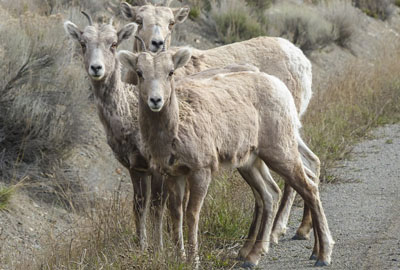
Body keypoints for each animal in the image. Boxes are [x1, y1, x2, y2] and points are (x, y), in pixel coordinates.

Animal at [63, 14, 169, 251]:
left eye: (113, 44)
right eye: (83, 44)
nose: (96, 68)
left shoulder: (158, 170)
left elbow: (158, 210)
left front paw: (159, 249)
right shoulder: (136, 168)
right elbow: (139, 208)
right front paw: (141, 247)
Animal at [119, 0, 318, 243]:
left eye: (171, 23)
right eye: (139, 21)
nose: (157, 44)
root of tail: (300, 58)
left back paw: (275, 232)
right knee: (311, 164)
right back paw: (301, 229)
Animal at [119, 47, 334, 268]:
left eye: (170, 72)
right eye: (139, 73)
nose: (155, 100)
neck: (173, 131)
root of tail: (281, 88)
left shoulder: (201, 171)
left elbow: (192, 214)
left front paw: (193, 260)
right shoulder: (174, 174)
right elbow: (176, 214)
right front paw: (180, 258)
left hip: (280, 152)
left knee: (308, 188)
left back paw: (322, 255)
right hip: (251, 162)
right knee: (271, 193)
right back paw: (253, 257)